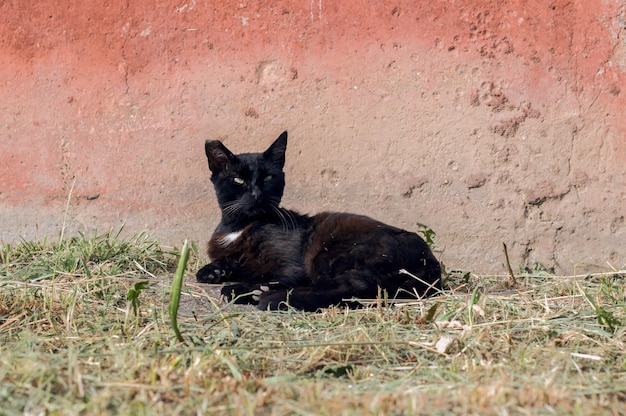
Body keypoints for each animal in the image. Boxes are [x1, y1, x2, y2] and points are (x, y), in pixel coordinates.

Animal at [195, 132, 438, 310]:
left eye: (267, 177)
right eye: (238, 180)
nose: (256, 193)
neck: (240, 227)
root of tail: (430, 261)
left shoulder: (292, 267)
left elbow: (278, 275)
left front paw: (245, 287)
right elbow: (223, 263)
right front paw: (213, 271)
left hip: (331, 253)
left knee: (352, 288)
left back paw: (270, 296)